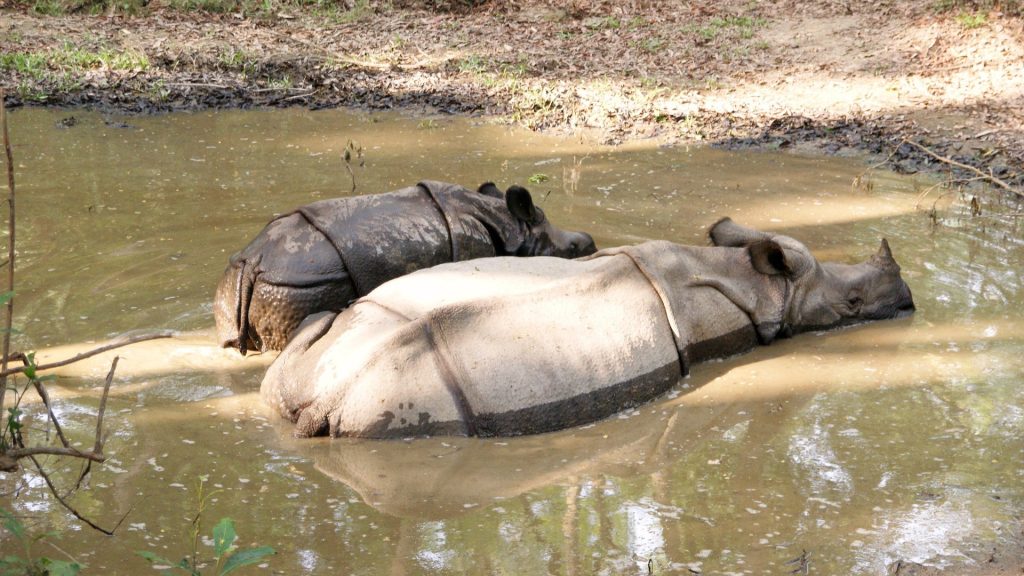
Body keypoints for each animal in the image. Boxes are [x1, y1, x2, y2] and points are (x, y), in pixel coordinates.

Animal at [214, 180, 596, 354]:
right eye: (573, 249)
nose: (592, 243)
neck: (509, 225)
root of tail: (254, 263)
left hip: (236, 280)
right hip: (299, 286)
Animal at [261, 218, 915, 438]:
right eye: (852, 302)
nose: (908, 301)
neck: (753, 280)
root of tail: (323, 401)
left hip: (334, 352)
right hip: (401, 394)